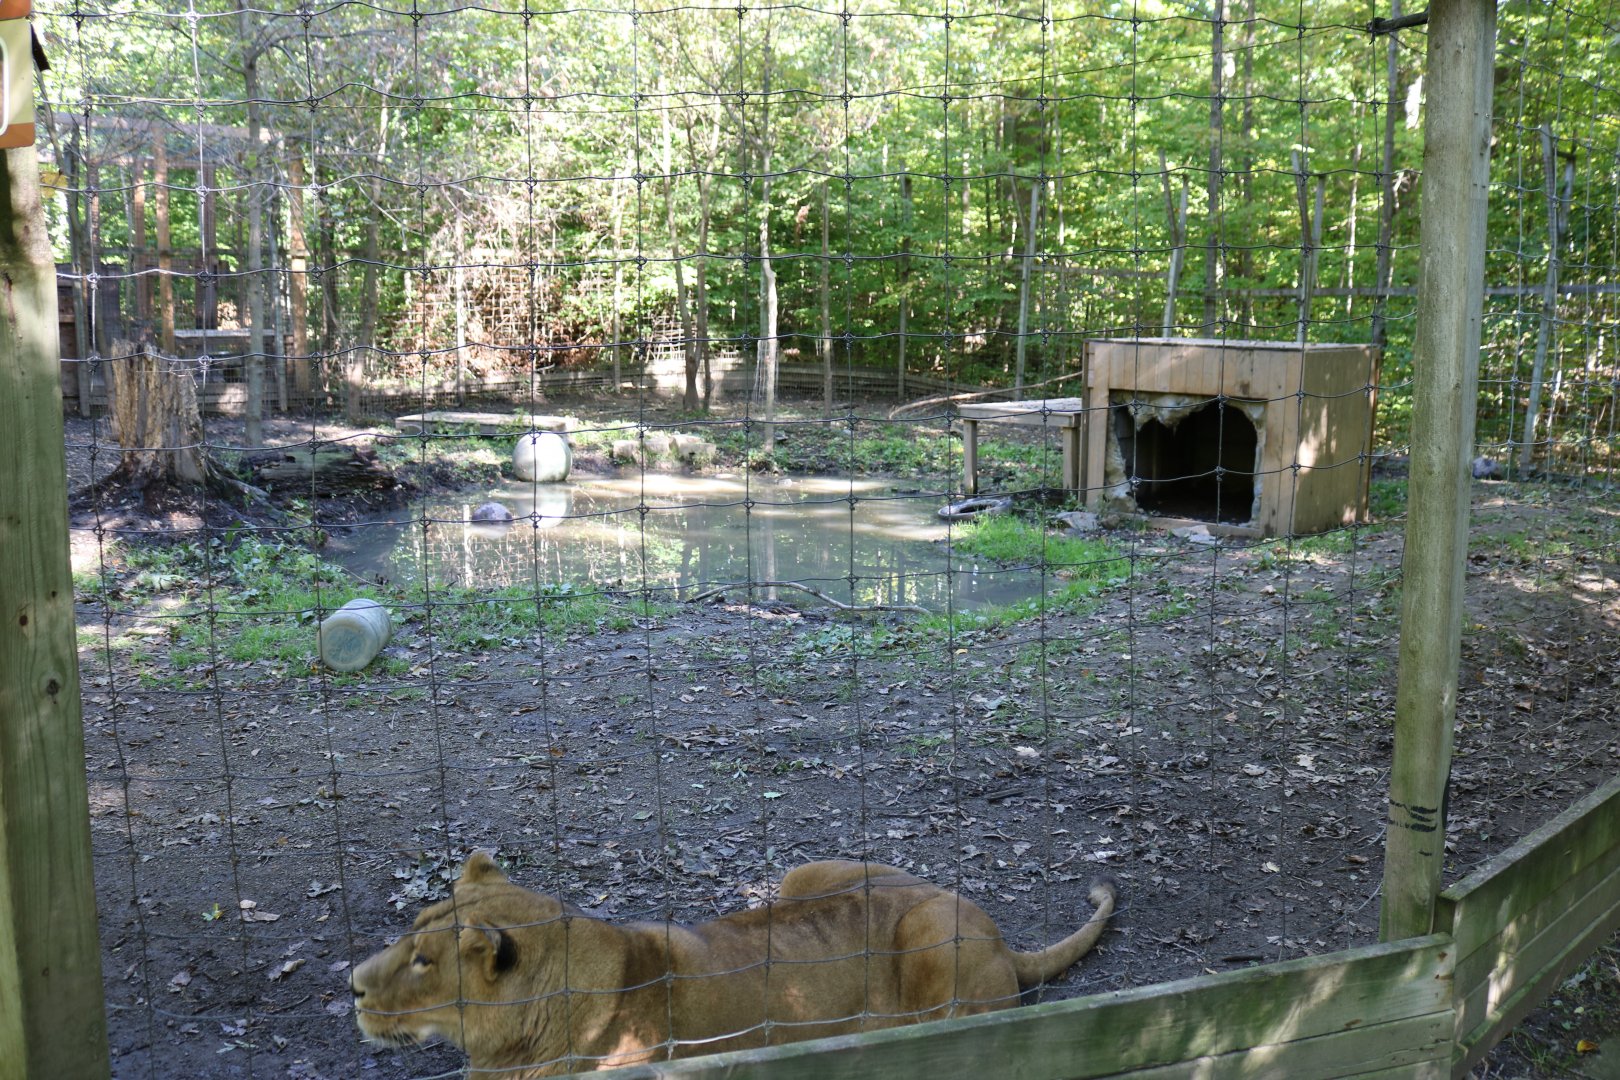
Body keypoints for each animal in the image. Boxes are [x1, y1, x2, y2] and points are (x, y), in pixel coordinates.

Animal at [352, 851, 1116, 1077]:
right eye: (410, 934)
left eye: (422, 961)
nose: (351, 986)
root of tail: (998, 935)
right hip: (808, 874)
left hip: (931, 941)